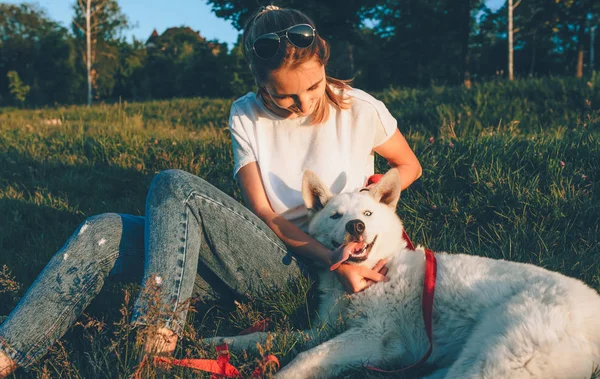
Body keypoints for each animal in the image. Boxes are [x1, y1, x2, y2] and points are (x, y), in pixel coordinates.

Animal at [209, 170, 600, 379]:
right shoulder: (322, 329)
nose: (356, 225)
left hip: (491, 360)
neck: (373, 272)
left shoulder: (377, 338)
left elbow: (305, 357)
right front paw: (219, 344)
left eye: (367, 213)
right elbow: (270, 336)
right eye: (335, 215)